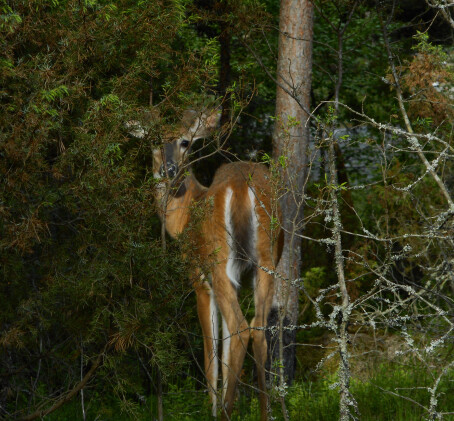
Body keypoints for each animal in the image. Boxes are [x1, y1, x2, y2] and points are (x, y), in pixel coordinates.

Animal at [127, 109, 282, 420]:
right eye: (153, 140)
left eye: (185, 142)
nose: (169, 169)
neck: (183, 217)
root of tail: (243, 187)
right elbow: (224, 350)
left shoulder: (198, 277)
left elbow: (211, 354)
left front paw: (210, 408)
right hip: (266, 261)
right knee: (257, 328)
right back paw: (262, 412)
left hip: (219, 260)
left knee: (240, 326)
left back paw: (224, 413)